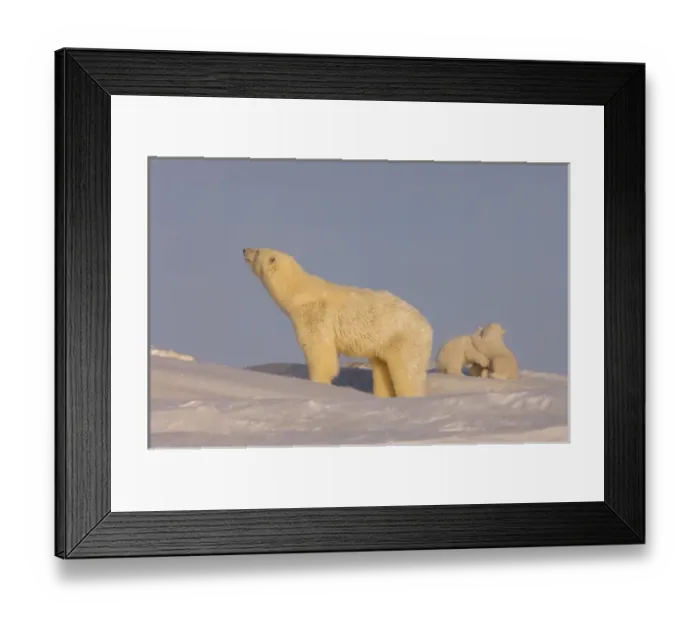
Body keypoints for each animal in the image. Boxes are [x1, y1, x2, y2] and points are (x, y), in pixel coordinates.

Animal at [243, 247, 433, 398]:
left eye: (258, 251)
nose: (244, 249)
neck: (300, 291)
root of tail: (427, 326)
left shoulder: (317, 315)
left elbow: (319, 351)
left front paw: (317, 382)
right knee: (382, 370)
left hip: (403, 338)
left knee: (408, 371)